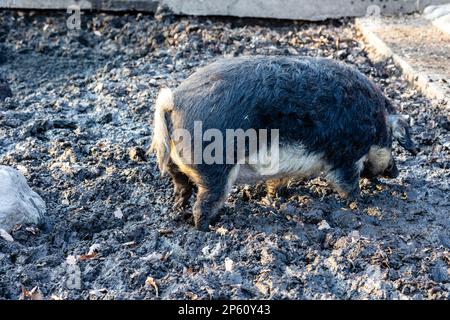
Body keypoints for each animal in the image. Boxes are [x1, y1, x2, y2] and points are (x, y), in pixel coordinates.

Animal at [149, 55, 416, 230]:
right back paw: (208, 227)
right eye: (393, 142)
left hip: (175, 164)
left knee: (181, 186)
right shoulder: (345, 155)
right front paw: (361, 201)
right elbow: (347, 184)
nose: (396, 172)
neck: (374, 125)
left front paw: (278, 196)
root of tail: (173, 101)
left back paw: (178, 208)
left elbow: (276, 183)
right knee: (204, 203)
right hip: (215, 167)